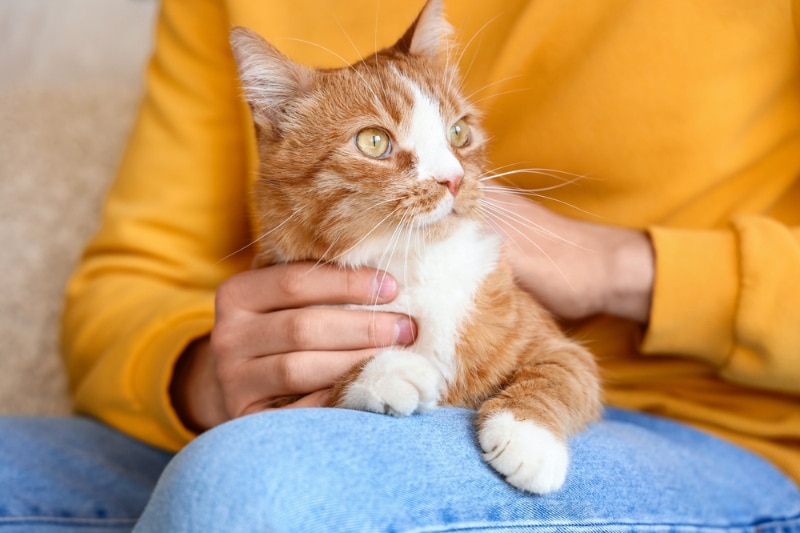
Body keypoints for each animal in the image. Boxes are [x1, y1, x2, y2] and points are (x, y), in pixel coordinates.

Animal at [228, 0, 596, 492]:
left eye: (459, 133)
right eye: (373, 141)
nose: (454, 179)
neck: (414, 266)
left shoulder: (558, 346)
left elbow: (560, 373)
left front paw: (527, 436)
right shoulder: (273, 378)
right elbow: (316, 391)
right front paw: (386, 370)